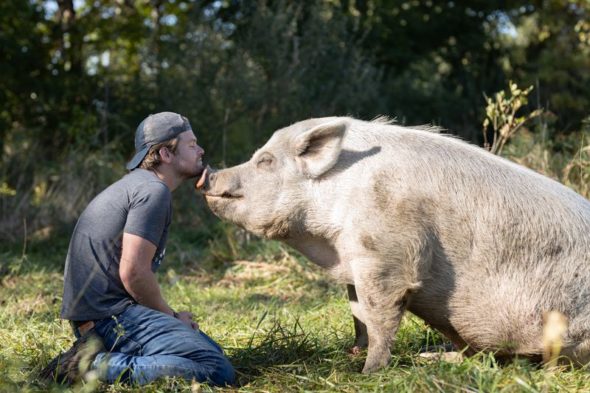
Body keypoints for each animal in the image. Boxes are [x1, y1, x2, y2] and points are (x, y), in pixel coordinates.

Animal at [201, 115, 590, 370]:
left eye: (265, 161)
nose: (210, 174)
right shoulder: (354, 262)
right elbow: (358, 312)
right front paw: (353, 353)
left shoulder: (387, 253)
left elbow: (380, 314)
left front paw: (368, 370)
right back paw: (431, 358)